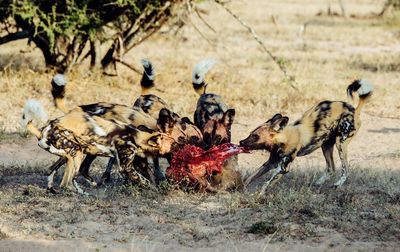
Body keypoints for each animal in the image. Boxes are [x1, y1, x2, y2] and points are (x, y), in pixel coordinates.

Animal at [21, 99, 175, 194]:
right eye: (175, 143)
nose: (180, 146)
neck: (135, 136)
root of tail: (42, 131)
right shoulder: (125, 167)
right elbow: (145, 180)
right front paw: (154, 190)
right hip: (76, 152)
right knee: (66, 183)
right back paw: (82, 193)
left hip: (70, 155)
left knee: (54, 171)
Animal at [239, 79, 374, 195]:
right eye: (250, 133)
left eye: (255, 136)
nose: (241, 142)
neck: (283, 138)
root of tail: (355, 110)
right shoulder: (270, 163)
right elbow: (251, 177)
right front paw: (240, 188)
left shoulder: (283, 168)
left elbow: (266, 184)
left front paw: (258, 195)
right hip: (326, 146)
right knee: (331, 168)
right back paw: (318, 183)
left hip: (340, 144)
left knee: (345, 168)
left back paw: (337, 184)